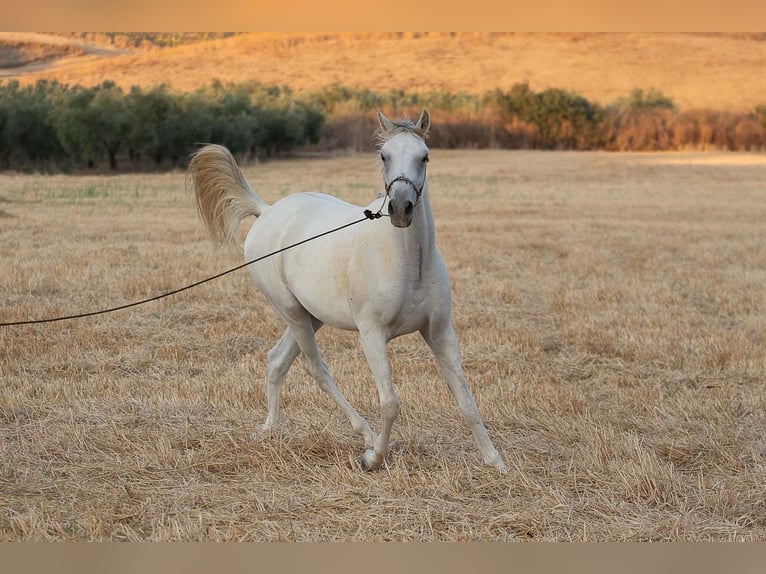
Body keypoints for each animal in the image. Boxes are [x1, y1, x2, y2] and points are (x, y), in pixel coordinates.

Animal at [188, 108, 508, 472]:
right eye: (384, 156)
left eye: (424, 156)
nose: (401, 208)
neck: (408, 264)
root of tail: (267, 212)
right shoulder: (372, 335)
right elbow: (390, 403)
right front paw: (373, 458)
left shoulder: (439, 331)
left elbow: (465, 399)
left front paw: (496, 462)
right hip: (292, 312)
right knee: (315, 368)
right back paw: (365, 436)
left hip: (311, 316)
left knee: (277, 360)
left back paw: (268, 429)